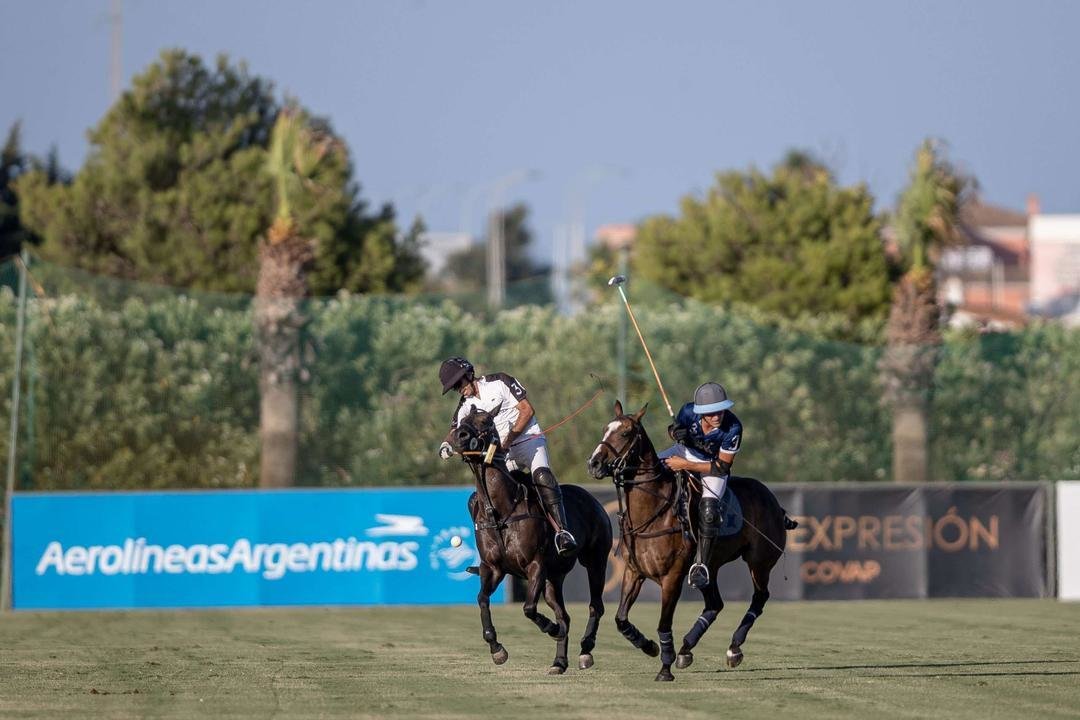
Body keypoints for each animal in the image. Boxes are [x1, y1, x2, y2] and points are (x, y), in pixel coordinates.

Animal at [449, 405, 617, 677]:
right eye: (461, 420)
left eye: (486, 420)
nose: (459, 436)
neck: (500, 512)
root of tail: (591, 498)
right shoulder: (493, 568)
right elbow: (482, 599)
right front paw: (496, 648)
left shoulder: (535, 565)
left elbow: (528, 608)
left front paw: (549, 629)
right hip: (554, 578)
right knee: (564, 615)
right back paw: (559, 662)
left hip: (596, 561)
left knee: (595, 606)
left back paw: (585, 651)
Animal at [587, 403, 790, 677]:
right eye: (605, 428)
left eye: (626, 432)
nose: (594, 463)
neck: (653, 511)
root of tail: (775, 502)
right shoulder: (633, 571)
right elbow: (620, 620)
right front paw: (649, 646)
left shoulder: (671, 577)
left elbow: (664, 623)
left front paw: (665, 667)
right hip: (709, 566)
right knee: (715, 604)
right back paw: (686, 649)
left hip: (760, 562)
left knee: (759, 597)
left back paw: (733, 648)